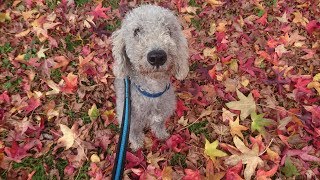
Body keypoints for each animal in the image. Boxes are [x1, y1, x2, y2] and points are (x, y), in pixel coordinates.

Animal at [112, 4, 189, 150]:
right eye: (136, 31)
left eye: (168, 29)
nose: (157, 56)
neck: (152, 90)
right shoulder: (131, 122)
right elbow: (134, 133)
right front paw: (137, 145)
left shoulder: (161, 116)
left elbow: (159, 125)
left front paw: (162, 135)